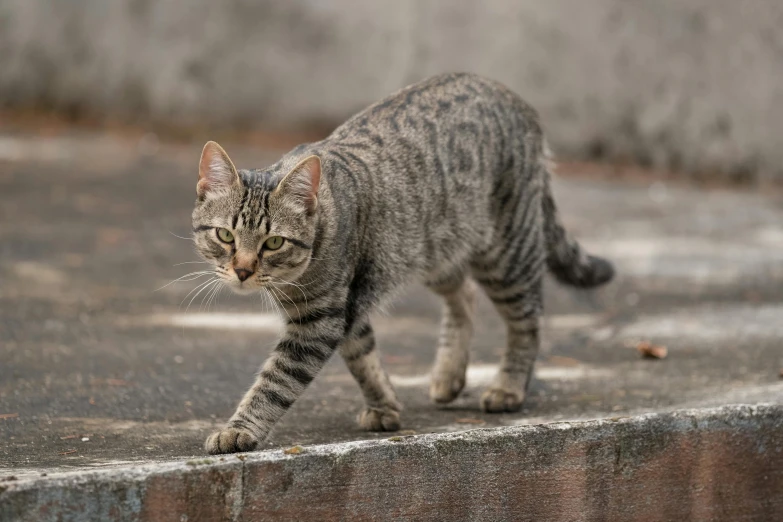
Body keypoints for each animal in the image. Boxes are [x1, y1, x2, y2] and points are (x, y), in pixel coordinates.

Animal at [193, 72, 616, 450]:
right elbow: (362, 354)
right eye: (225, 236)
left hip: (506, 253)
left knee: (528, 320)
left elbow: (275, 382)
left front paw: (239, 430)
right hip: (434, 249)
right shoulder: (349, 304)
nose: (243, 270)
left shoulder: (321, 318)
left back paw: (508, 387)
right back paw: (448, 376)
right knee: (464, 295)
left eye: (274, 242)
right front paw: (385, 405)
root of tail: (511, 95)